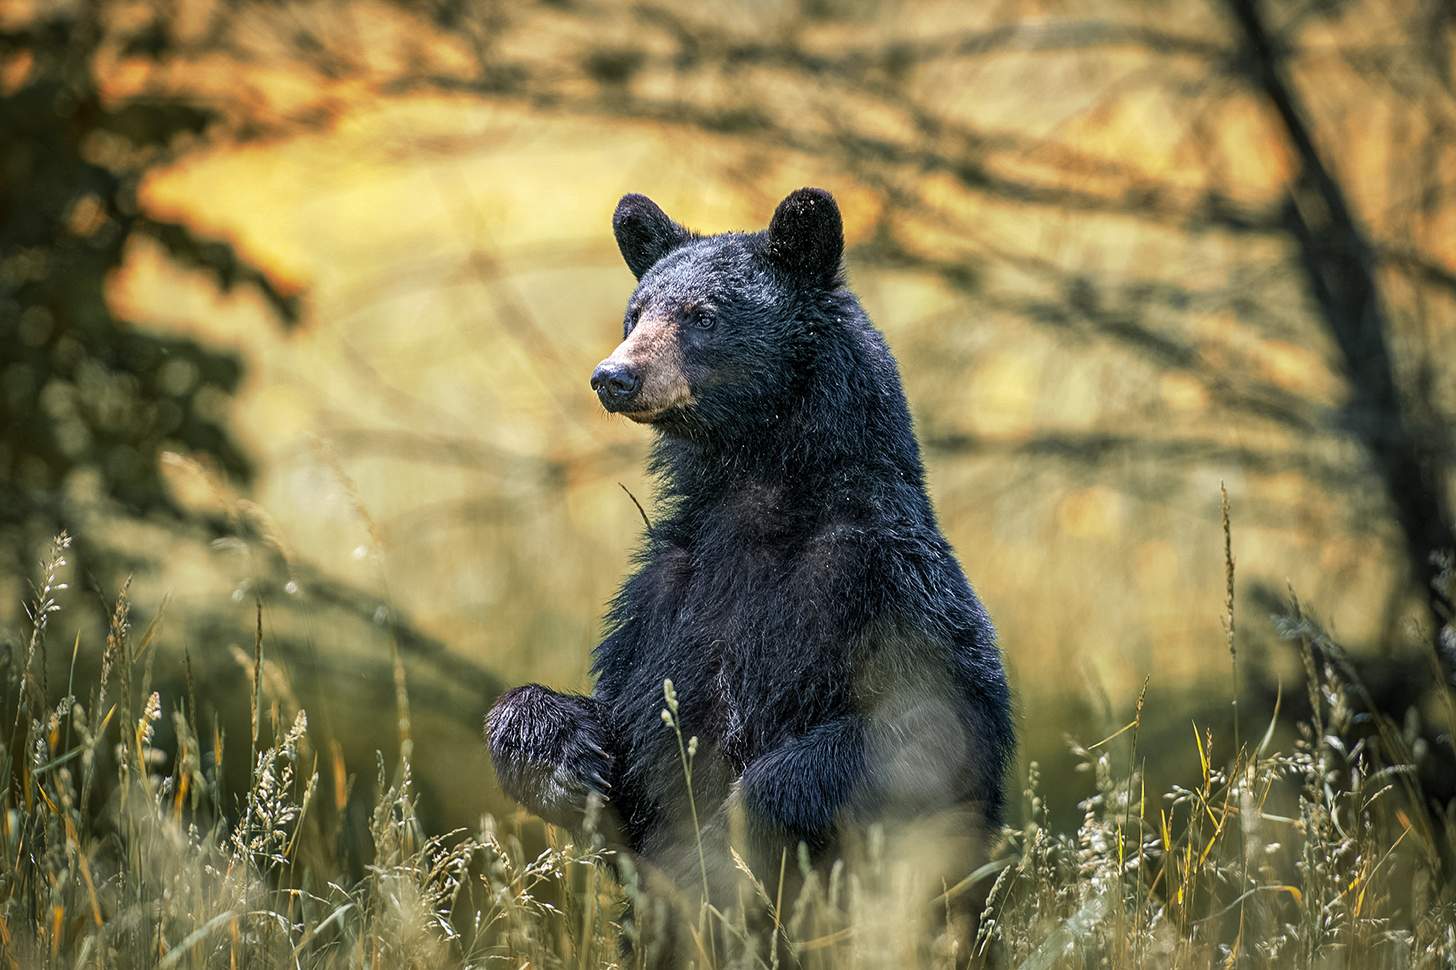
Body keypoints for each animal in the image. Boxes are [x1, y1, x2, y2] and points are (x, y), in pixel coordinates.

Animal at [486, 187, 1013, 963]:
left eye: (703, 315)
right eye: (635, 312)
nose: (614, 376)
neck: (755, 502)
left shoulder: (885, 581)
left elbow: (930, 726)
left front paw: (744, 824)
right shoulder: (660, 600)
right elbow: (623, 716)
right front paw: (564, 761)